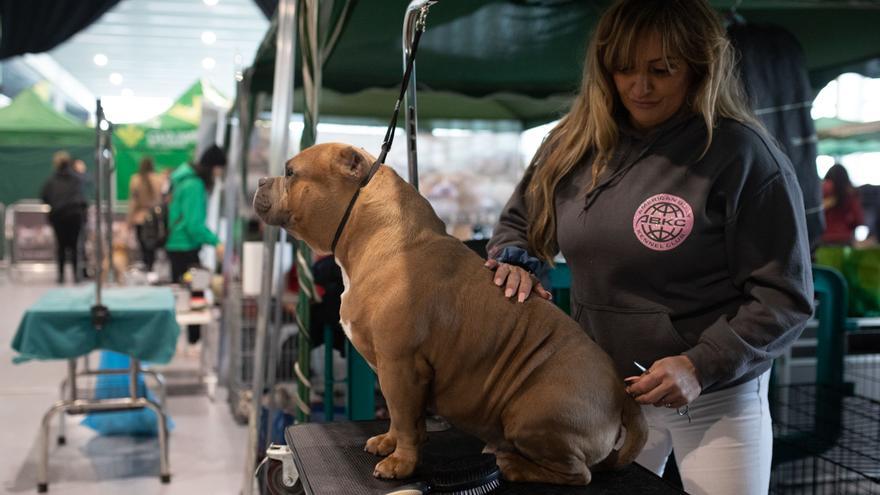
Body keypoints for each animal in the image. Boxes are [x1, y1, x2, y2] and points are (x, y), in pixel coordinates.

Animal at [254, 142, 648, 484]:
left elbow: (406, 420)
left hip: (531, 413)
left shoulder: (401, 365)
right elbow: (401, 418)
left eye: (290, 172)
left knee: (577, 473)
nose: (259, 181)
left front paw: (400, 464)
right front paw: (389, 443)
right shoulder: (393, 372)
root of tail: (621, 394)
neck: (377, 236)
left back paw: (512, 464)